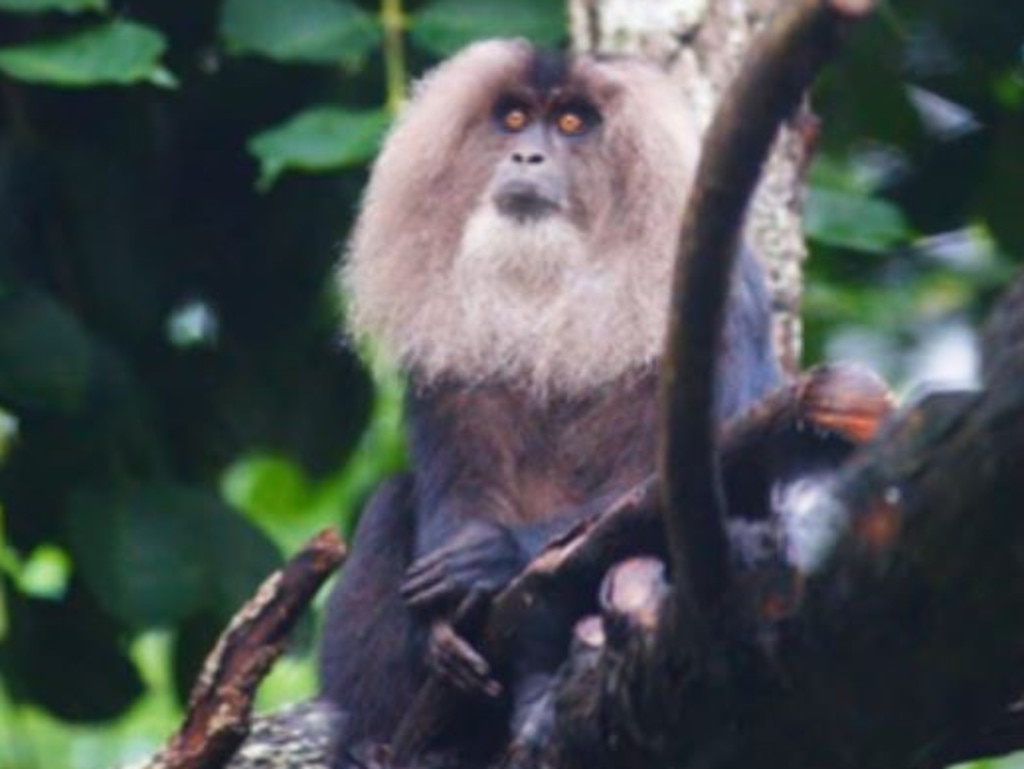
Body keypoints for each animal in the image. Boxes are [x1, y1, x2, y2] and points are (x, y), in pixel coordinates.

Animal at [319, 37, 782, 765]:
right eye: (513, 119)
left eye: (571, 123)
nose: (527, 157)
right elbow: (456, 484)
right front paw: (438, 626)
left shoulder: (720, 301)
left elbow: (692, 483)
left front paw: (491, 558)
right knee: (393, 500)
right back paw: (377, 745)